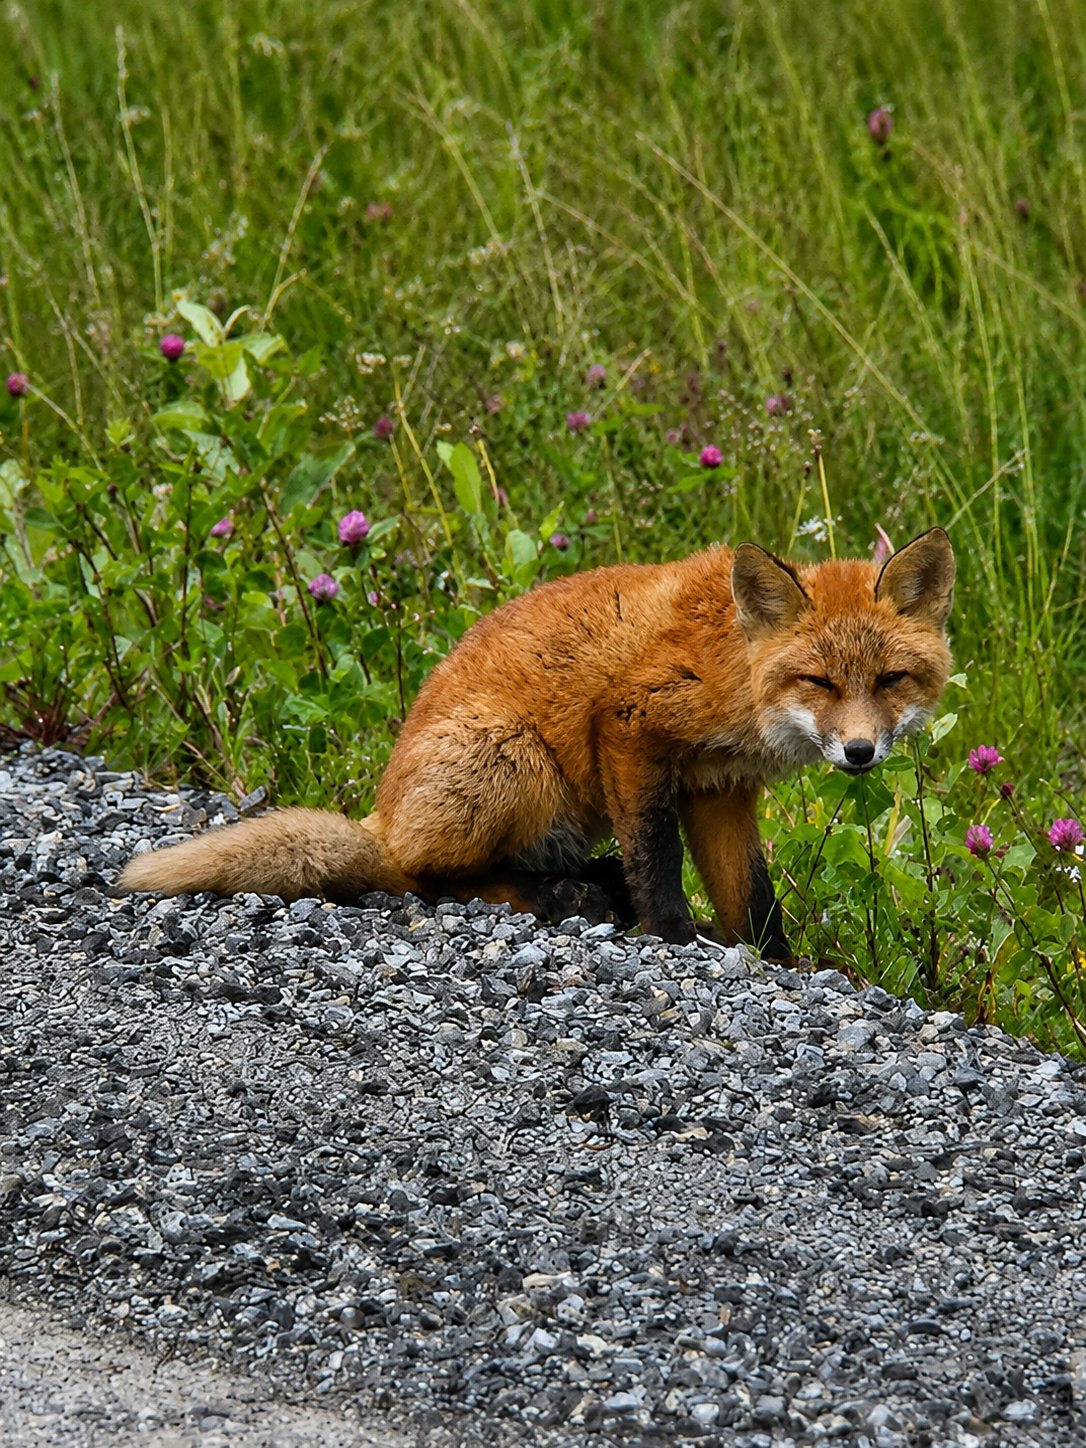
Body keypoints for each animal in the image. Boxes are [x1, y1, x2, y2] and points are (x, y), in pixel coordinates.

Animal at [118, 527, 955, 957]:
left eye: (890, 680)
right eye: (818, 680)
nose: (859, 754)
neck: (735, 671)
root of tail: (381, 815)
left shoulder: (719, 787)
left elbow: (752, 898)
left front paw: (778, 963)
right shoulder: (631, 726)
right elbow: (657, 859)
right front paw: (673, 936)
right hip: (511, 761)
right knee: (420, 878)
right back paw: (556, 895)